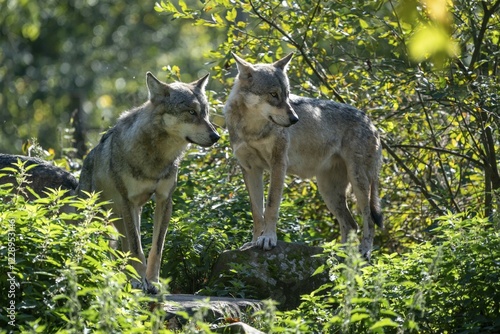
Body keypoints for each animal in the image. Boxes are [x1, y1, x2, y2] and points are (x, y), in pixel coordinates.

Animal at [77, 71, 219, 292]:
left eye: (205, 113)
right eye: (191, 112)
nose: (216, 136)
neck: (157, 158)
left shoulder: (164, 200)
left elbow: (156, 248)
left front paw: (152, 281)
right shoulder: (128, 201)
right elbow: (137, 248)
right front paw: (138, 281)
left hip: (127, 215)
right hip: (100, 216)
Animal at [224, 53, 382, 260]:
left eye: (287, 95)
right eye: (273, 95)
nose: (295, 119)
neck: (252, 130)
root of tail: (371, 122)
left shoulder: (278, 165)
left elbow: (271, 206)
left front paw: (268, 238)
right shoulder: (250, 170)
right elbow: (257, 212)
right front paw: (253, 242)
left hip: (359, 183)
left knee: (368, 219)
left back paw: (364, 252)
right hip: (329, 192)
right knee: (350, 225)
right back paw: (340, 256)